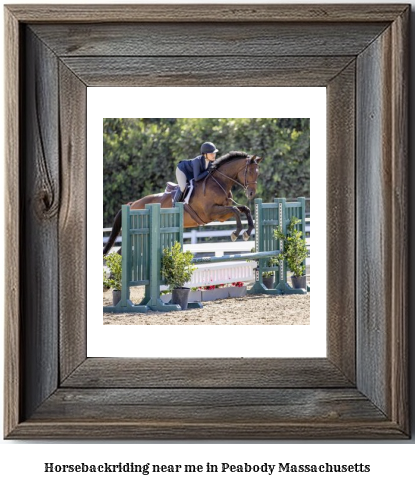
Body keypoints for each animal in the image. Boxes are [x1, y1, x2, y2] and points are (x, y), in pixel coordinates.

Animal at [103, 151, 260, 255]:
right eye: (249, 172)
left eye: (257, 173)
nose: (251, 194)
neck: (218, 182)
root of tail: (132, 204)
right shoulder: (212, 213)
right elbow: (235, 210)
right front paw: (235, 233)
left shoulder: (222, 213)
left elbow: (244, 209)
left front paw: (247, 233)